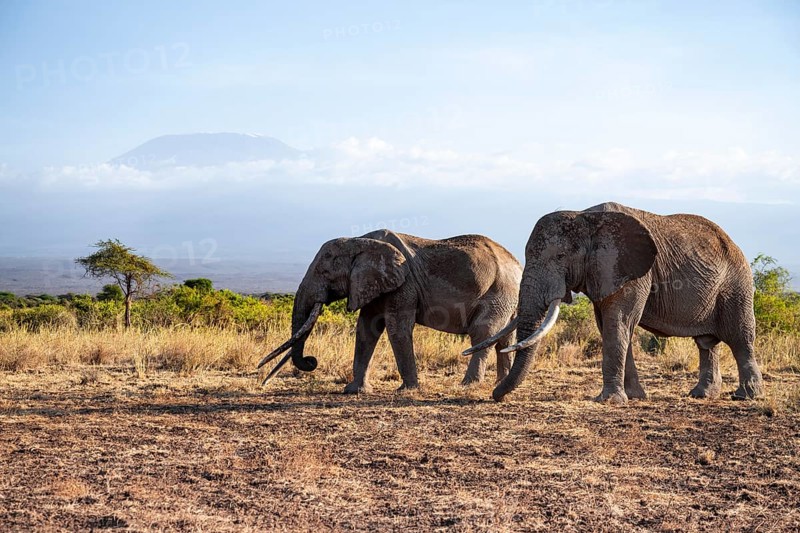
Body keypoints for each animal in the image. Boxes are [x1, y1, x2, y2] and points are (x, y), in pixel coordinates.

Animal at [258, 229, 522, 393]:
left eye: (324, 273)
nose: (311, 361)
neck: (359, 241)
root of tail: (517, 263)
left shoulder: (403, 284)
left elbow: (397, 328)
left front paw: (407, 390)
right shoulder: (372, 283)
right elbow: (366, 329)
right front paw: (353, 391)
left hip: (499, 289)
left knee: (483, 332)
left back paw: (468, 385)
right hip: (508, 297)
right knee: (504, 339)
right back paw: (501, 382)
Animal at [468, 202, 764, 404]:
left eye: (561, 256)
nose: (495, 396)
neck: (585, 216)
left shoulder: (631, 270)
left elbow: (618, 323)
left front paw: (609, 401)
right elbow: (611, 326)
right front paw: (634, 397)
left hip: (736, 284)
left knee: (740, 337)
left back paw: (747, 396)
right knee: (706, 343)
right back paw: (701, 395)